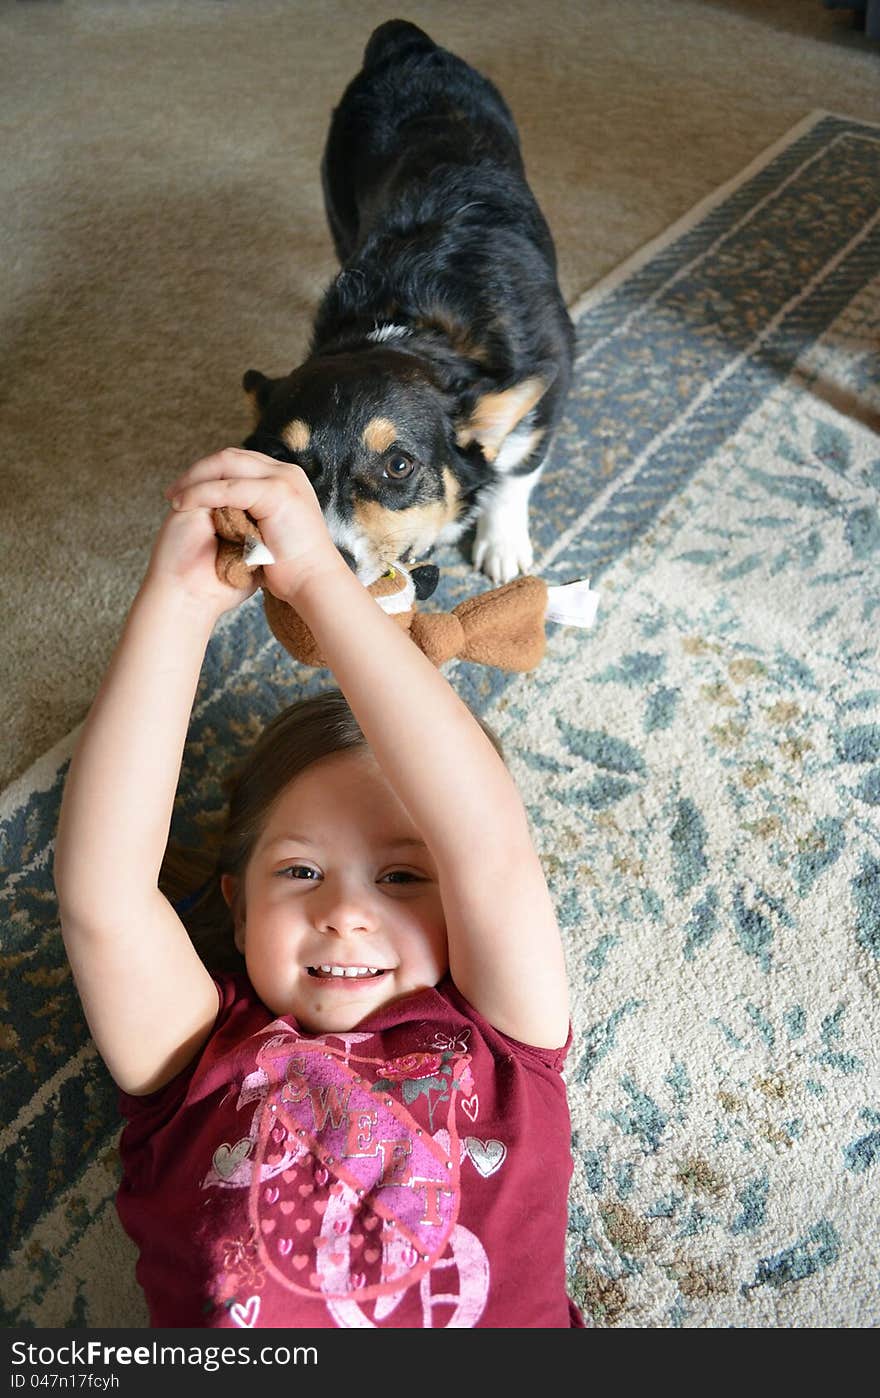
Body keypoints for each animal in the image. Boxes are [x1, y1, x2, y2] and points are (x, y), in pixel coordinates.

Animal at [242, 23, 570, 589]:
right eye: (283, 460)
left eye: (399, 466)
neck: (416, 326)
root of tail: (407, 43)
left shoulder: (543, 406)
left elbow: (514, 474)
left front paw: (502, 547)